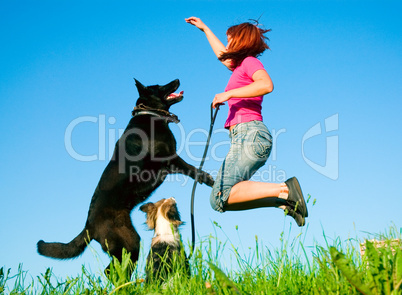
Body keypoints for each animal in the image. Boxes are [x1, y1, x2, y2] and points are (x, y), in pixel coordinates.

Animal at [37, 79, 214, 276]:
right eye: (159, 86)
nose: (177, 80)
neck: (150, 114)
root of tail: (88, 226)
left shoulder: (169, 166)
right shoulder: (170, 157)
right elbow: (192, 168)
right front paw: (209, 180)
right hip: (129, 243)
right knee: (113, 270)